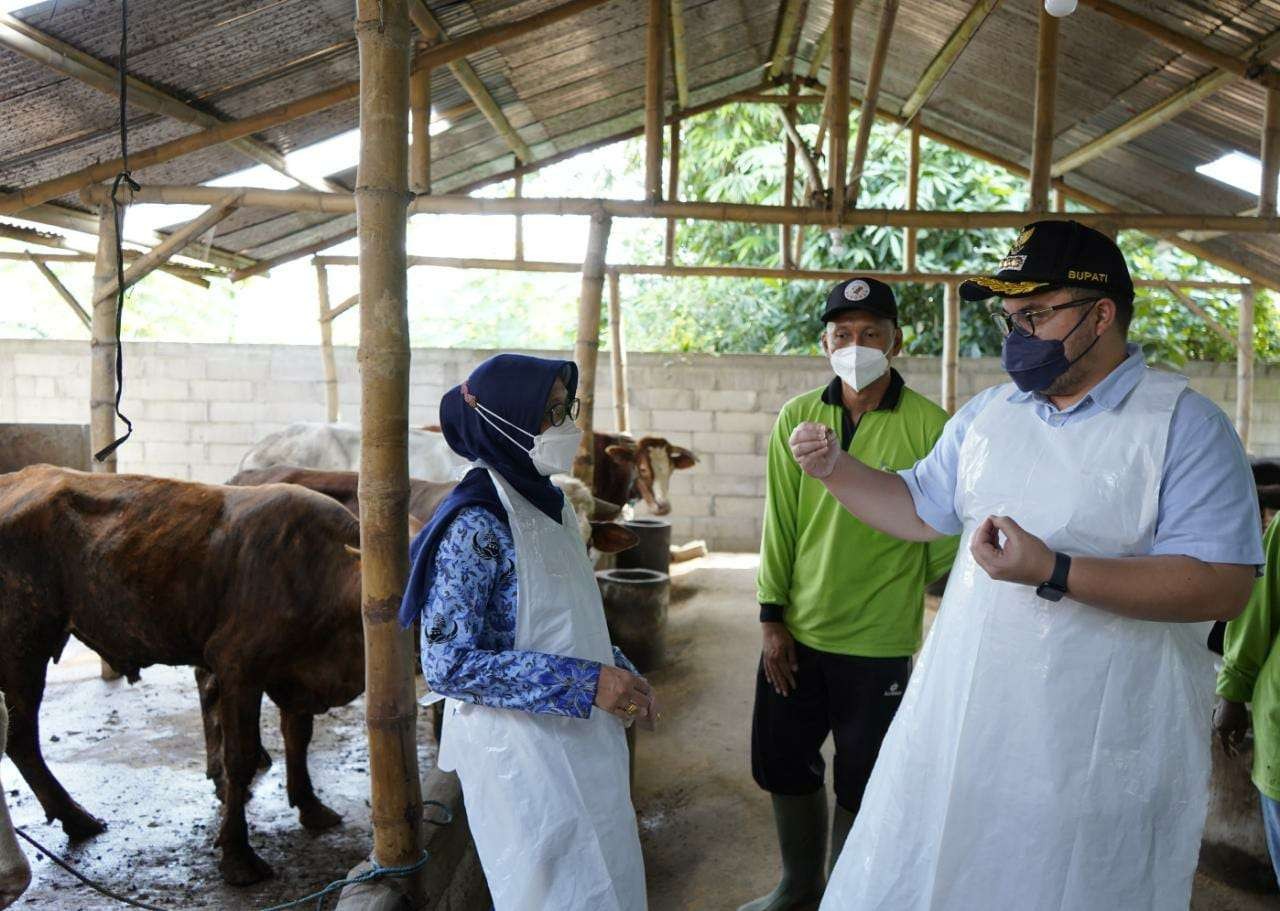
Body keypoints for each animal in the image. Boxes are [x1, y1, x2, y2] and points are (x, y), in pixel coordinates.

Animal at [0, 465, 371, 880]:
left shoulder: (297, 674)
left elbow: (298, 737)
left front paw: (310, 806)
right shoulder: (237, 665)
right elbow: (240, 757)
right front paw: (238, 855)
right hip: (22, 644)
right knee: (20, 738)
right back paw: (76, 818)